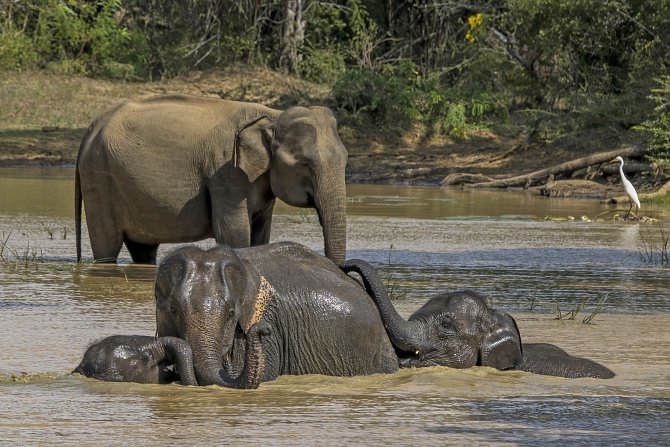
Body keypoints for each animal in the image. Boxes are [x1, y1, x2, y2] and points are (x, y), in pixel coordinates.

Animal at [74, 93, 350, 262]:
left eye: (346, 159)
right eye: (305, 164)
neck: (272, 115)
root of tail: (91, 128)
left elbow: (261, 235)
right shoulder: (226, 173)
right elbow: (234, 235)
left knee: (143, 248)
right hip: (99, 179)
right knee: (107, 245)